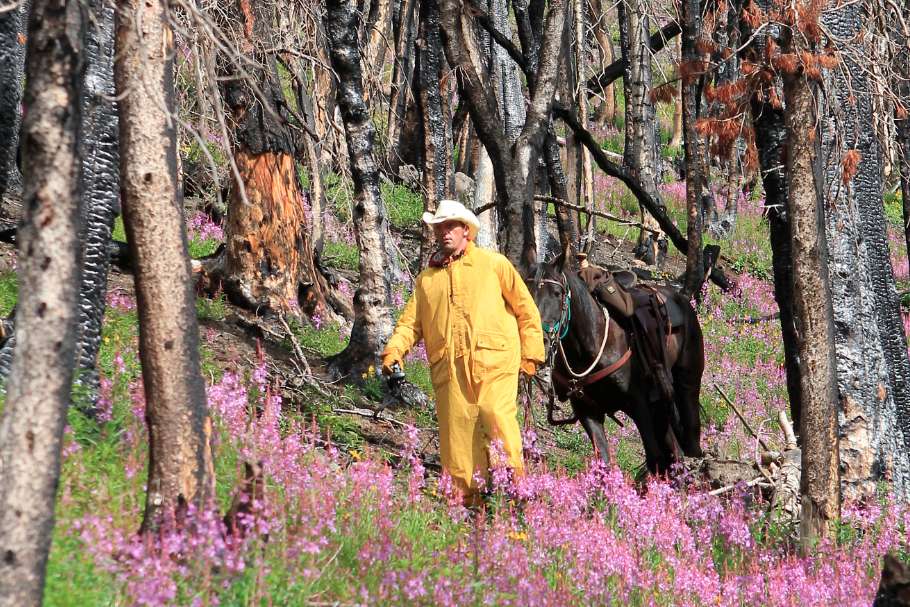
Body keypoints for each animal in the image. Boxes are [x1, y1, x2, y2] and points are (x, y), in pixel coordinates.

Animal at [524, 251, 708, 476]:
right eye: (526, 290)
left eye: (557, 293)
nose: (537, 340)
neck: (591, 345)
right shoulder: (588, 410)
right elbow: (603, 460)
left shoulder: (638, 405)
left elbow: (654, 457)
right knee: (674, 450)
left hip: (686, 386)